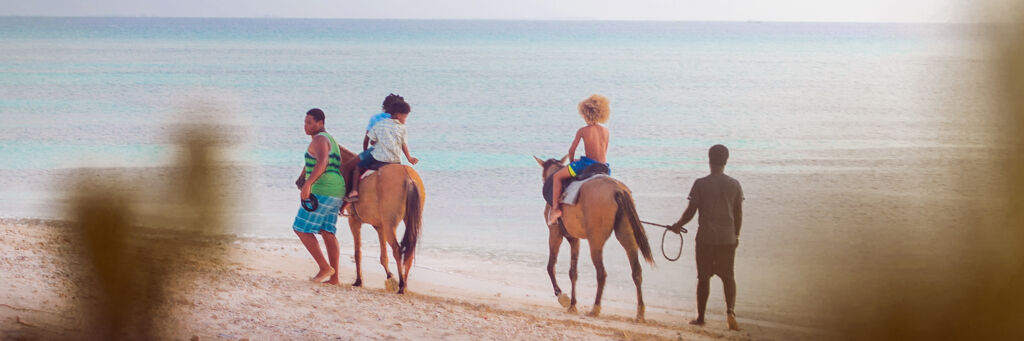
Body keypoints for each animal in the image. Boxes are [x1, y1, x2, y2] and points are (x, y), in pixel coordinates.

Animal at [346, 163, 421, 292]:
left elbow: (357, 253)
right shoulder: (380, 226)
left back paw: (402, 284)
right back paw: (404, 284)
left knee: (397, 249)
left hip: (390, 226)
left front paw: (359, 280)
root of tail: (408, 177)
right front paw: (389, 276)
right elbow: (383, 256)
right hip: (408, 221)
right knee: (409, 251)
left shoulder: (354, 221)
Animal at [532, 155, 651, 319]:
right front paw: (573, 304)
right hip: (626, 235)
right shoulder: (574, 239)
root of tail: (617, 190)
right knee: (637, 271)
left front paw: (562, 297)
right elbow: (573, 272)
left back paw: (595, 307)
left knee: (601, 273)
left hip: (595, 242)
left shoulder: (555, 233)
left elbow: (551, 266)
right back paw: (640, 312)